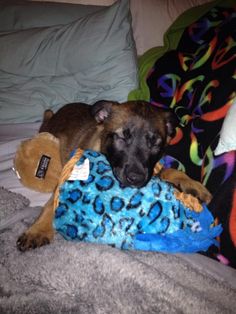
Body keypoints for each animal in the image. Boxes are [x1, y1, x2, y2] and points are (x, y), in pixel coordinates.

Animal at [16, 102, 212, 251]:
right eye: (121, 137)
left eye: (155, 143)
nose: (135, 179)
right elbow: (52, 203)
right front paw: (38, 230)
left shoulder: (151, 169)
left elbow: (170, 171)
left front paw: (193, 185)